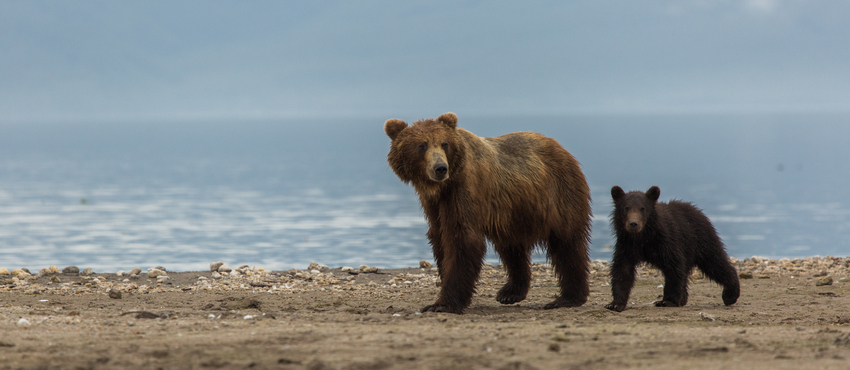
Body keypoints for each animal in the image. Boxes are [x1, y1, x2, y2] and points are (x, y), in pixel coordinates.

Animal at [384, 112, 588, 312]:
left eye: (444, 143)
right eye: (421, 145)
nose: (440, 168)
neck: (443, 187)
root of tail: (560, 147)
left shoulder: (464, 190)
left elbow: (462, 239)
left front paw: (442, 304)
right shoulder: (434, 204)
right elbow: (440, 238)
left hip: (559, 194)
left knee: (567, 243)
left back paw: (568, 298)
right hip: (513, 212)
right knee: (512, 248)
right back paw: (510, 293)